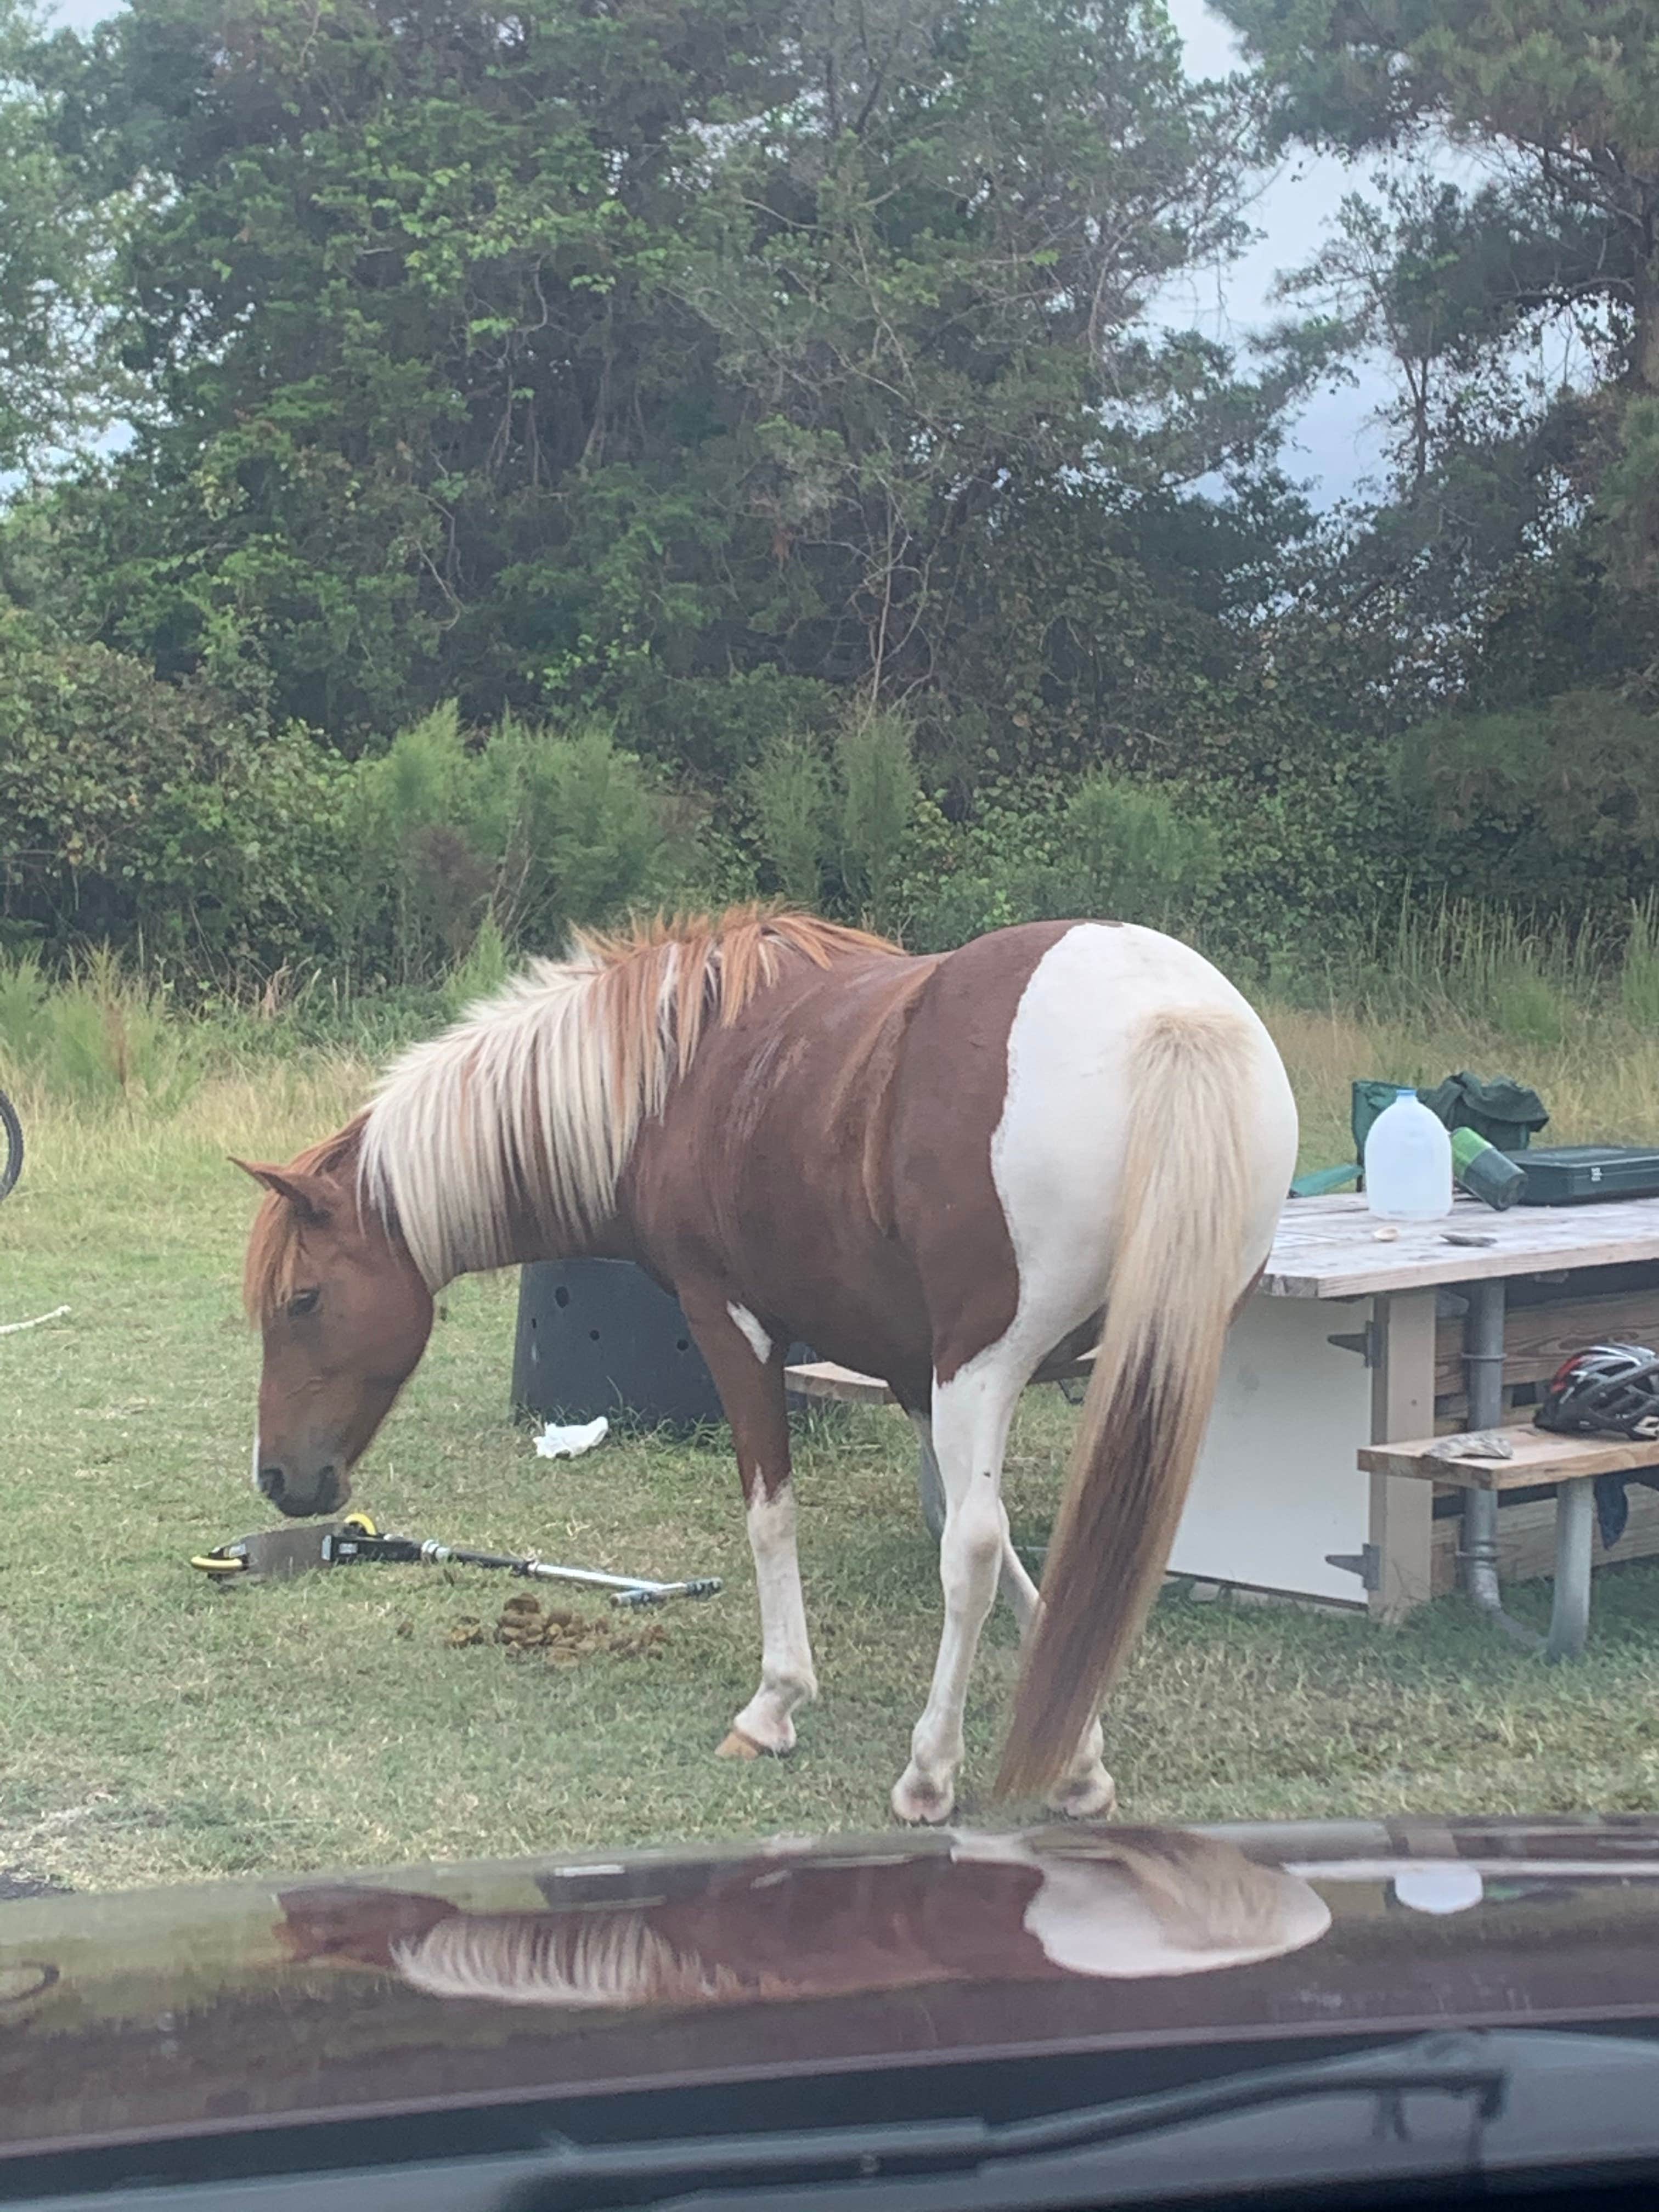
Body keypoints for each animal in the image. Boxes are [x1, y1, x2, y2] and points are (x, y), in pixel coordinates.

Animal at [236, 907, 1296, 1823]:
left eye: (302, 1301)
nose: (283, 1480)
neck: (673, 1077)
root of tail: (1164, 1013)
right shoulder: (912, 1372)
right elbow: (1017, 1559)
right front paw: (1077, 1754)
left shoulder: (734, 1325)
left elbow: (779, 1514)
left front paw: (775, 1703)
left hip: (987, 1365)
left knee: (971, 1553)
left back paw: (928, 1772)